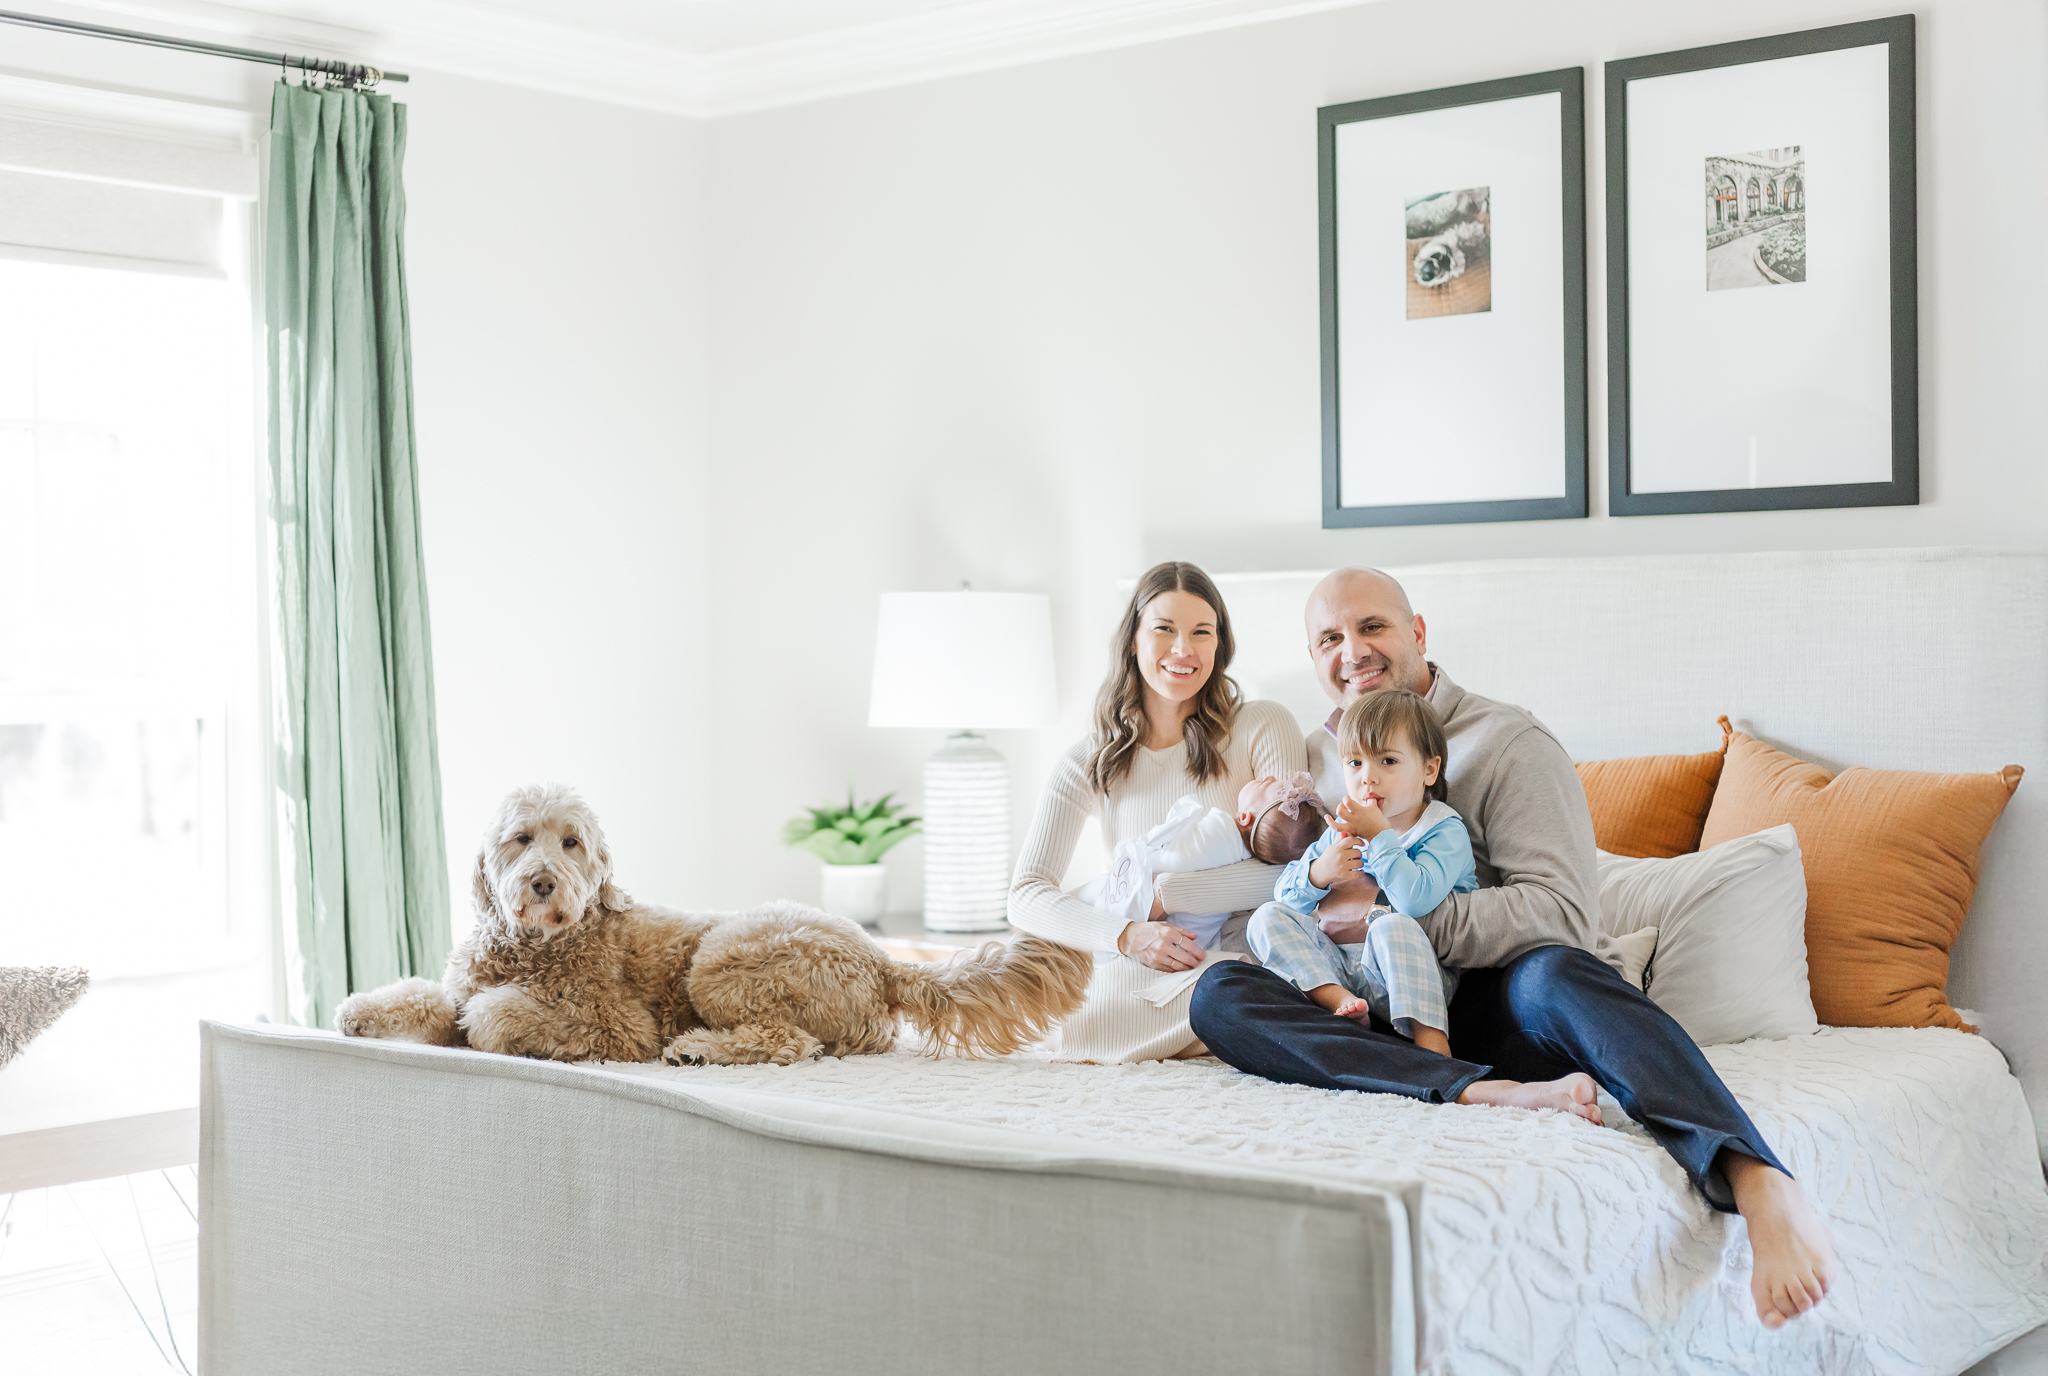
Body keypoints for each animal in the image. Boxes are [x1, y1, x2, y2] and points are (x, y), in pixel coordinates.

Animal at [335, 786, 1097, 1064]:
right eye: (521, 839)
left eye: (572, 842)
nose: (543, 881)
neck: (537, 945)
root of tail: (881, 961)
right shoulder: (458, 985)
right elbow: (429, 998)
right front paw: (361, 1012)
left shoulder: (619, 1026)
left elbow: (492, 1013)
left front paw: (495, 1027)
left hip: (724, 961)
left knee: (788, 1041)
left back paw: (699, 1050)